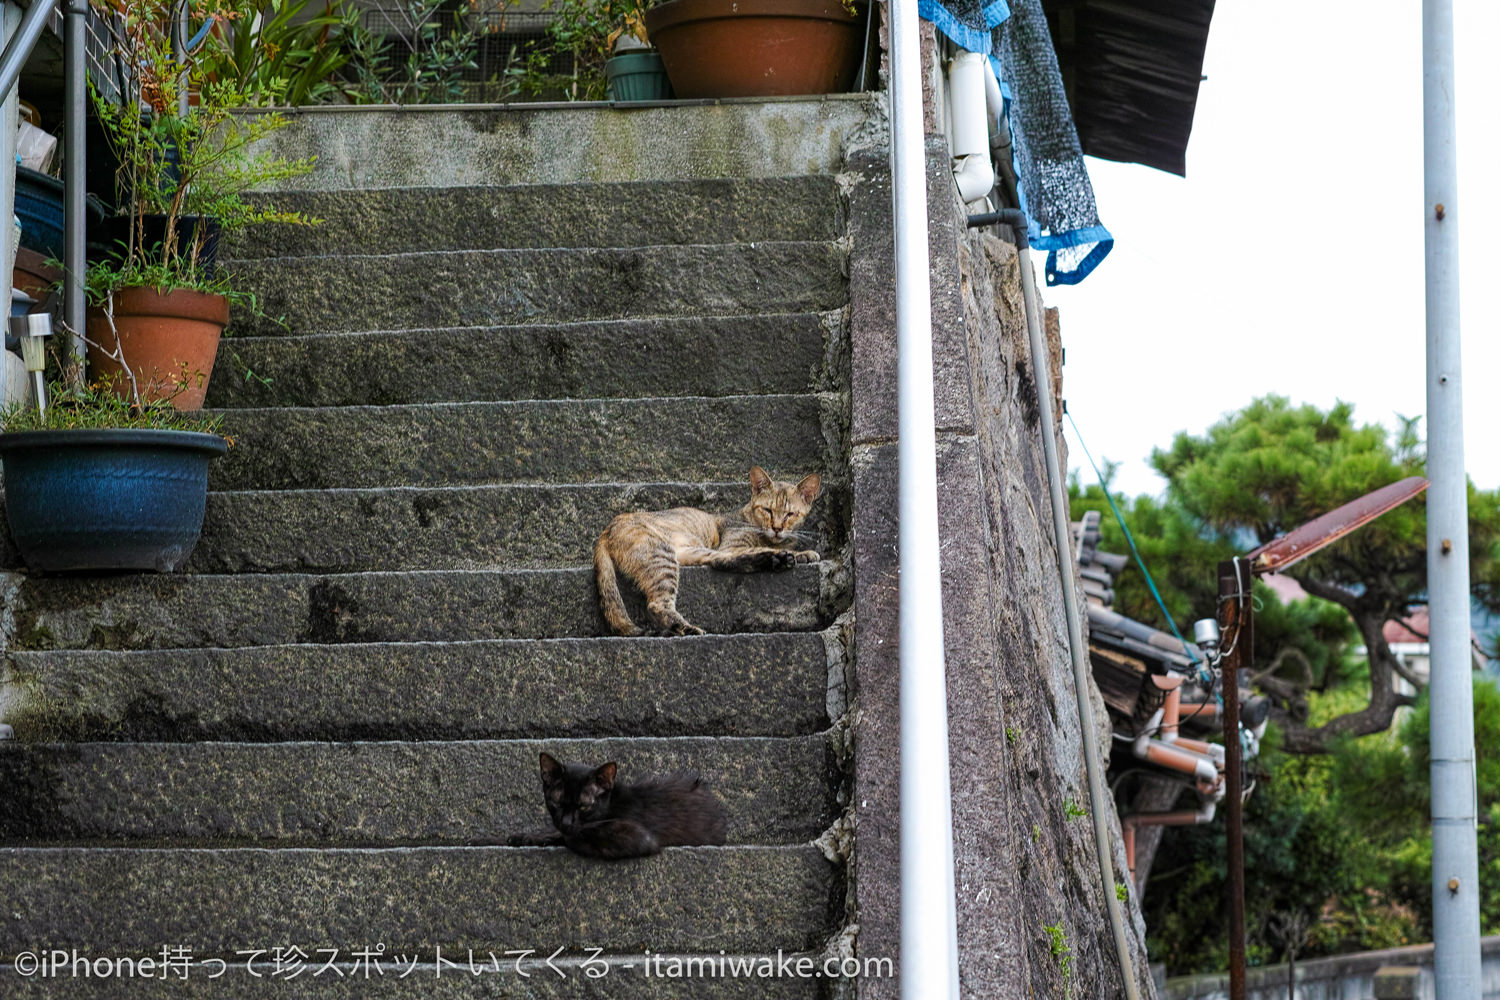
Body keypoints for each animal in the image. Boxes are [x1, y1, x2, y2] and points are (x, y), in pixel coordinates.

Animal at [513, 749, 729, 863]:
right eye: (556, 803)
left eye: (583, 807)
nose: (566, 822)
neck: (610, 806)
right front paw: (529, 836)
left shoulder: (637, 837)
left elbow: (577, 836)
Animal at [591, 464, 822, 638]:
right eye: (767, 510)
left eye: (791, 514)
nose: (777, 528)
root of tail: (605, 530)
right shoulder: (733, 543)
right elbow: (759, 545)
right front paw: (799, 552)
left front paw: (800, 553)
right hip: (661, 555)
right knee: (657, 604)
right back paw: (687, 629)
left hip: (688, 552)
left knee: (723, 561)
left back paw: (776, 560)